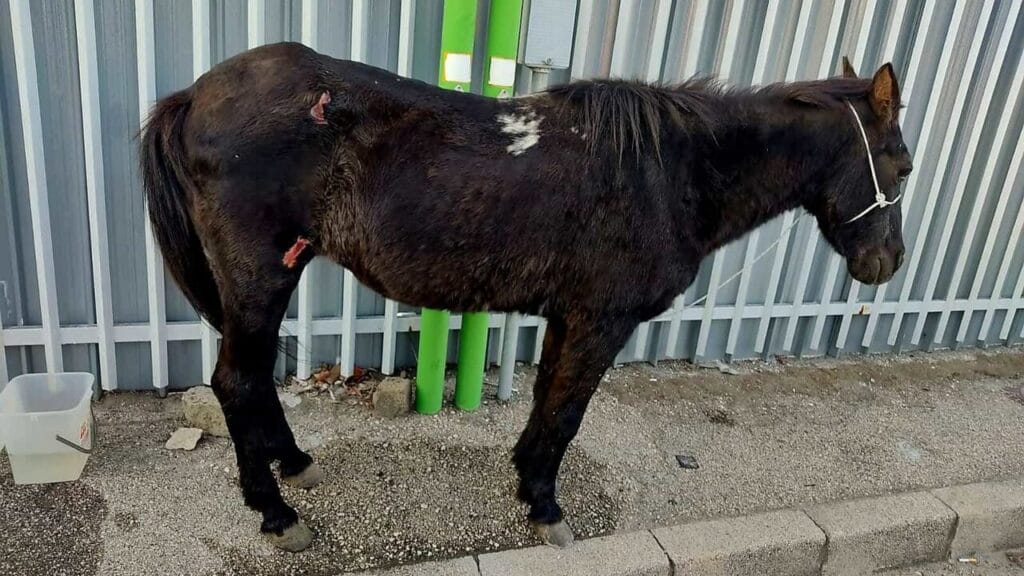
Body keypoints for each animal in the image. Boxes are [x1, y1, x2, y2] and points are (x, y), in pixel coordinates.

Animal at [140, 42, 911, 552]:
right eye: (901, 163)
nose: (889, 262)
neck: (669, 170)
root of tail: (196, 96)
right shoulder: (601, 321)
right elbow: (567, 414)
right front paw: (544, 506)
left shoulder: (569, 318)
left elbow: (547, 404)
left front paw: (526, 481)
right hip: (261, 276)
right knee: (237, 381)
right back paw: (274, 512)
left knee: (253, 379)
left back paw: (295, 464)